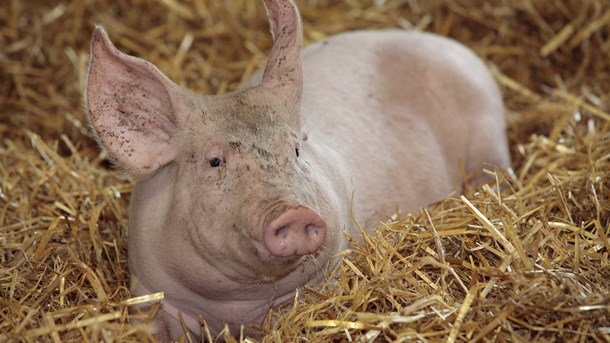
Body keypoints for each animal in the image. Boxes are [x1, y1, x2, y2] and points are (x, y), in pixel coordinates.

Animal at [84, 0, 508, 340]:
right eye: (215, 161)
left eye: (296, 150)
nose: (294, 212)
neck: (235, 310)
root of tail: (452, 46)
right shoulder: (149, 289)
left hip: (488, 139)